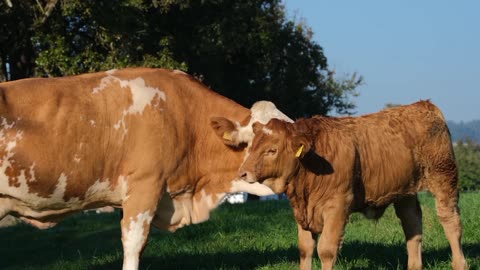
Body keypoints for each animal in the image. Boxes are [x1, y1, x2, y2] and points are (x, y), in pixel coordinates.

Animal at [226, 101, 468, 270]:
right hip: (405, 192)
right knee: (412, 224)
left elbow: (326, 250)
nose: (243, 172)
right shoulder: (302, 211)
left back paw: (460, 264)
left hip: (444, 177)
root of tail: (423, 105)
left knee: (450, 221)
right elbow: (305, 249)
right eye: (251, 146)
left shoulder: (338, 207)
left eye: (272, 150)